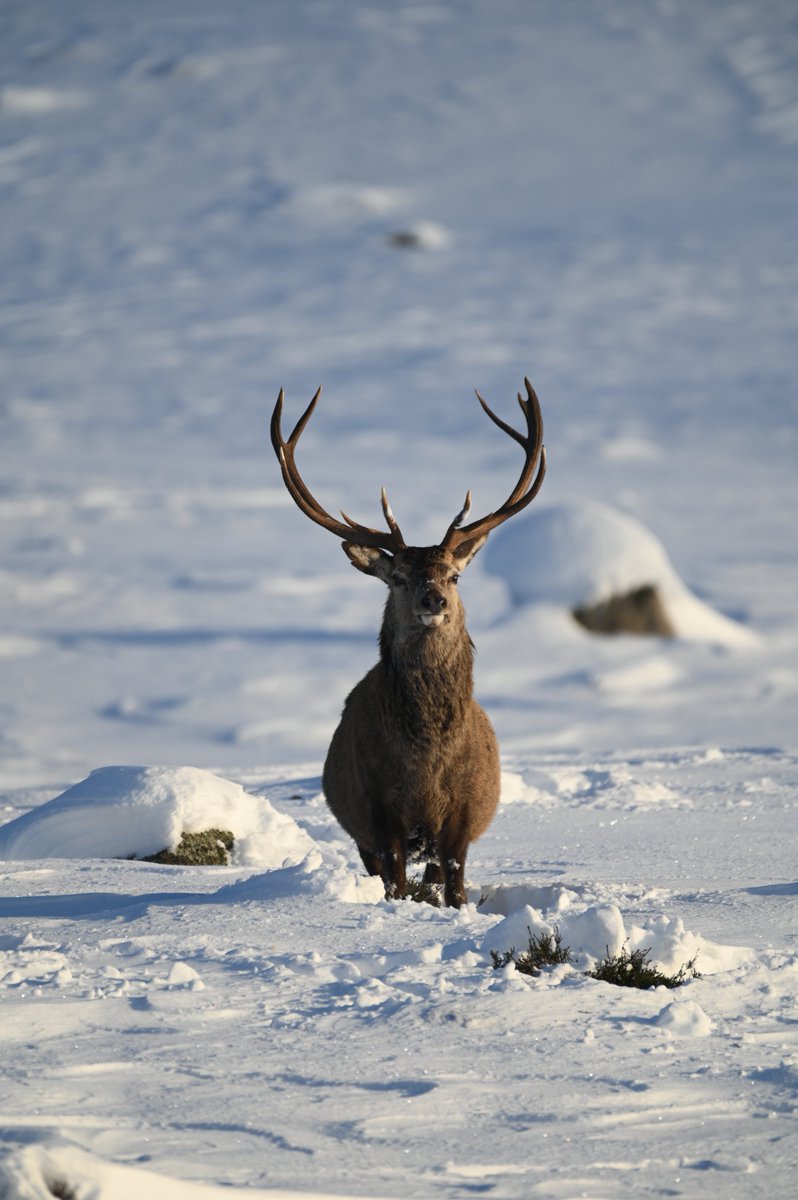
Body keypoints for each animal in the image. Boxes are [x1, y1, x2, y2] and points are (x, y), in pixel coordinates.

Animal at [270, 379, 546, 907]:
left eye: (454, 575)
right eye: (397, 577)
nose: (432, 599)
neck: (425, 763)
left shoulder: (464, 810)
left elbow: (455, 878)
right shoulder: (377, 806)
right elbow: (394, 880)